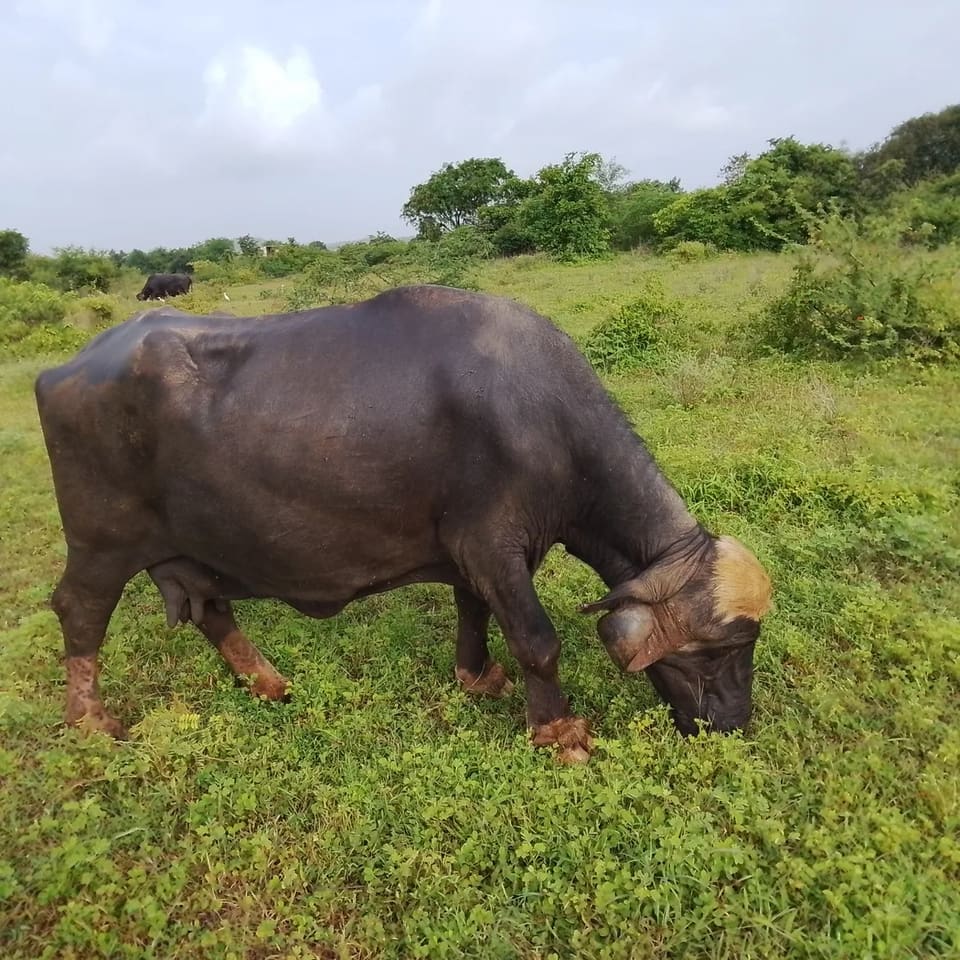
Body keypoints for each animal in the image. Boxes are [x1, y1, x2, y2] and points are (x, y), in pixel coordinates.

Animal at [34, 285, 772, 762]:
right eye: (722, 651)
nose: (733, 725)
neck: (543, 421)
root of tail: (65, 368)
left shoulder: (478, 555)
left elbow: (474, 611)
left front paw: (477, 675)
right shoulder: (494, 547)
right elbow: (538, 641)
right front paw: (559, 732)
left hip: (193, 549)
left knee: (211, 609)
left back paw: (267, 683)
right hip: (102, 543)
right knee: (79, 609)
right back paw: (91, 720)